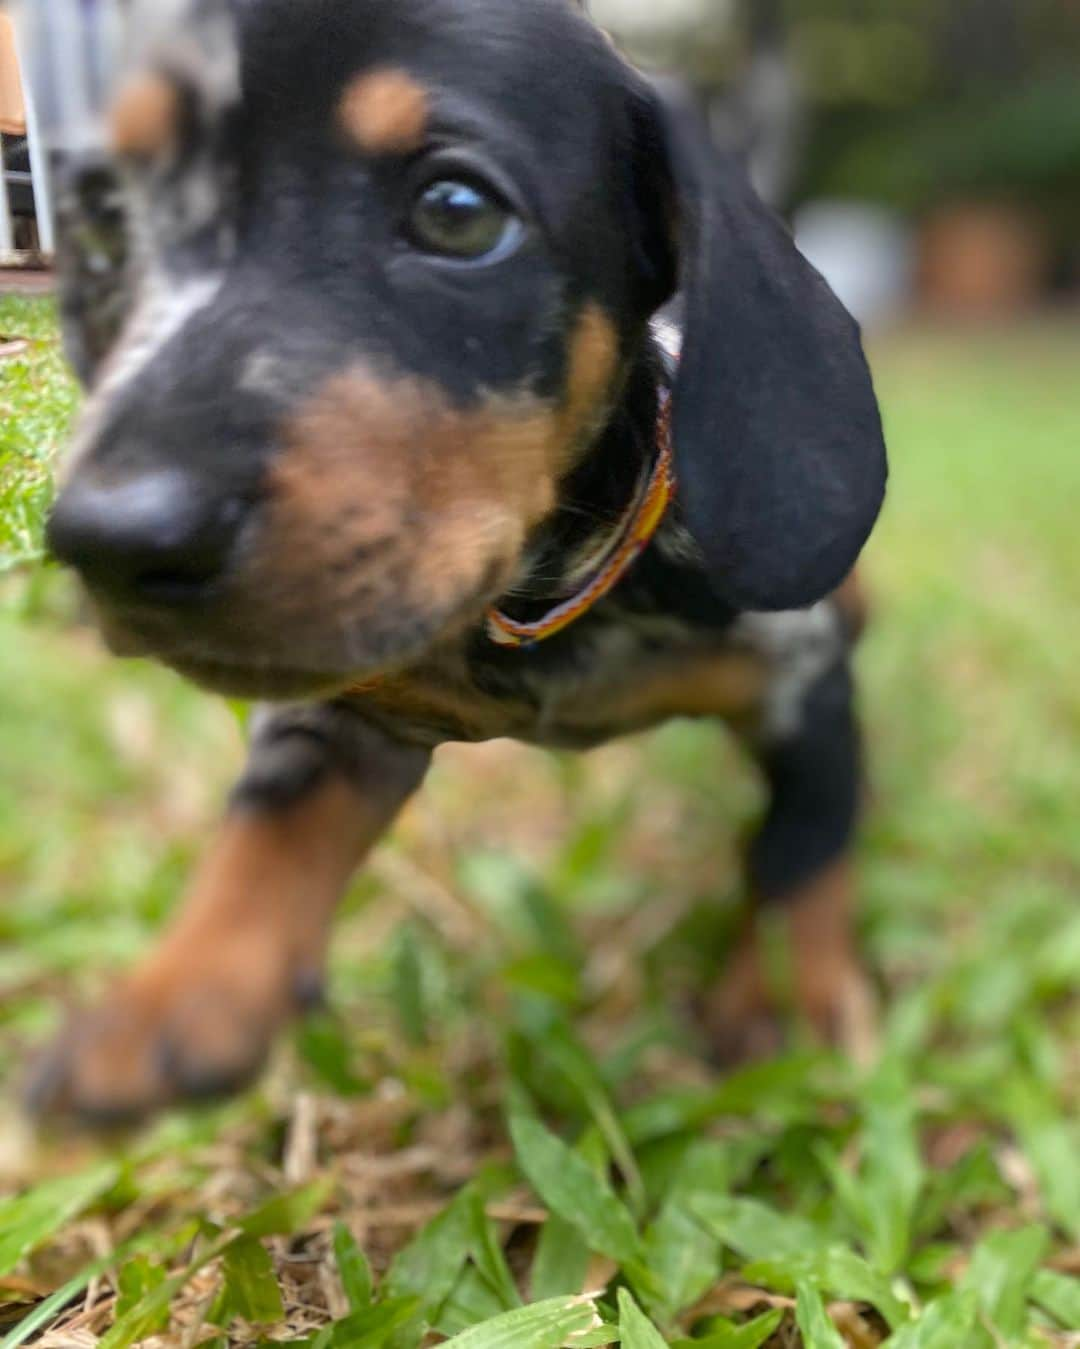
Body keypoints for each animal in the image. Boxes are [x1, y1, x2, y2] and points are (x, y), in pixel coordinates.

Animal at [31, 0, 884, 1116]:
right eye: (104, 229)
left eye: (457, 211)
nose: (111, 537)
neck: (543, 600)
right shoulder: (345, 707)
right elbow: (272, 816)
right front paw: (181, 989)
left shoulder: (804, 685)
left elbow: (804, 847)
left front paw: (790, 1007)